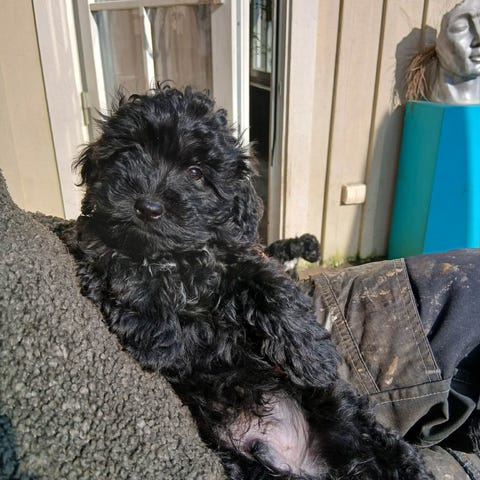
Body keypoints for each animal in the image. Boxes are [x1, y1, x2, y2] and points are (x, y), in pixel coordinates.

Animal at [62, 86, 432, 479]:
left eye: (196, 173)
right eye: (129, 153)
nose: (148, 207)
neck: (179, 257)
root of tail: (299, 460)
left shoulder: (239, 259)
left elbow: (273, 287)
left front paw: (315, 357)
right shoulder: (93, 240)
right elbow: (122, 266)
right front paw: (156, 332)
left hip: (335, 405)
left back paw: (410, 466)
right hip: (241, 462)